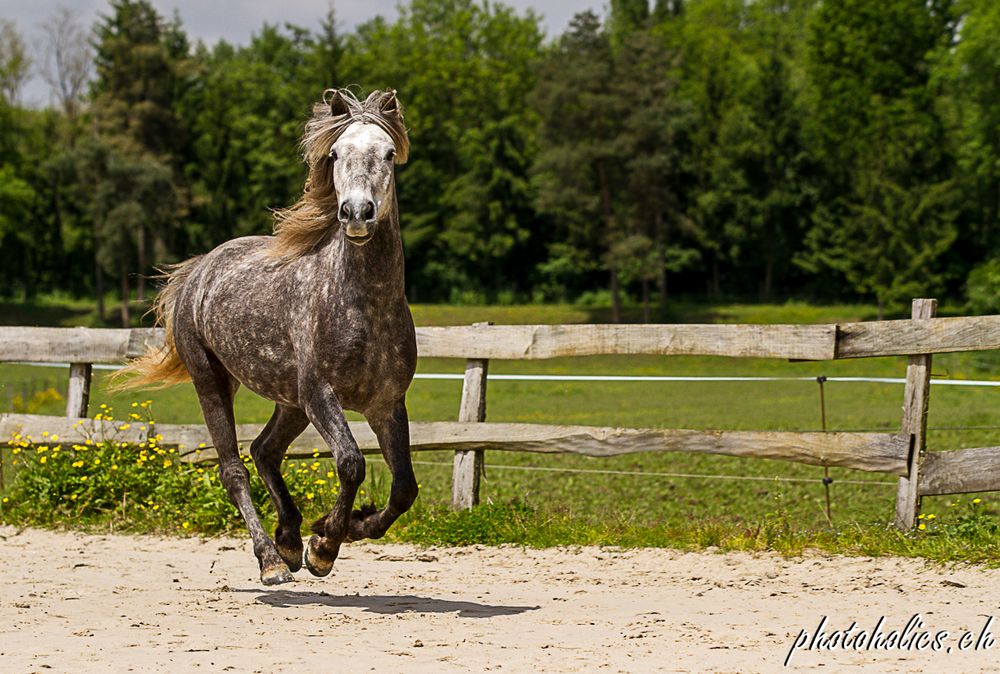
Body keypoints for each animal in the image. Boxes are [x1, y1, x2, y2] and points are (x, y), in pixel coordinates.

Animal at [121, 88, 418, 584]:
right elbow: (351, 463)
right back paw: (273, 561)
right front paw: (325, 548)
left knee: (264, 451)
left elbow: (404, 490)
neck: (364, 303)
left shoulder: (387, 404)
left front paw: (337, 530)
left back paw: (291, 540)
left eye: (389, 153)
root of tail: (198, 270)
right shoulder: (320, 394)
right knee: (234, 468)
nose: (356, 213)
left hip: (289, 402)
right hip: (214, 382)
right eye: (335, 153)